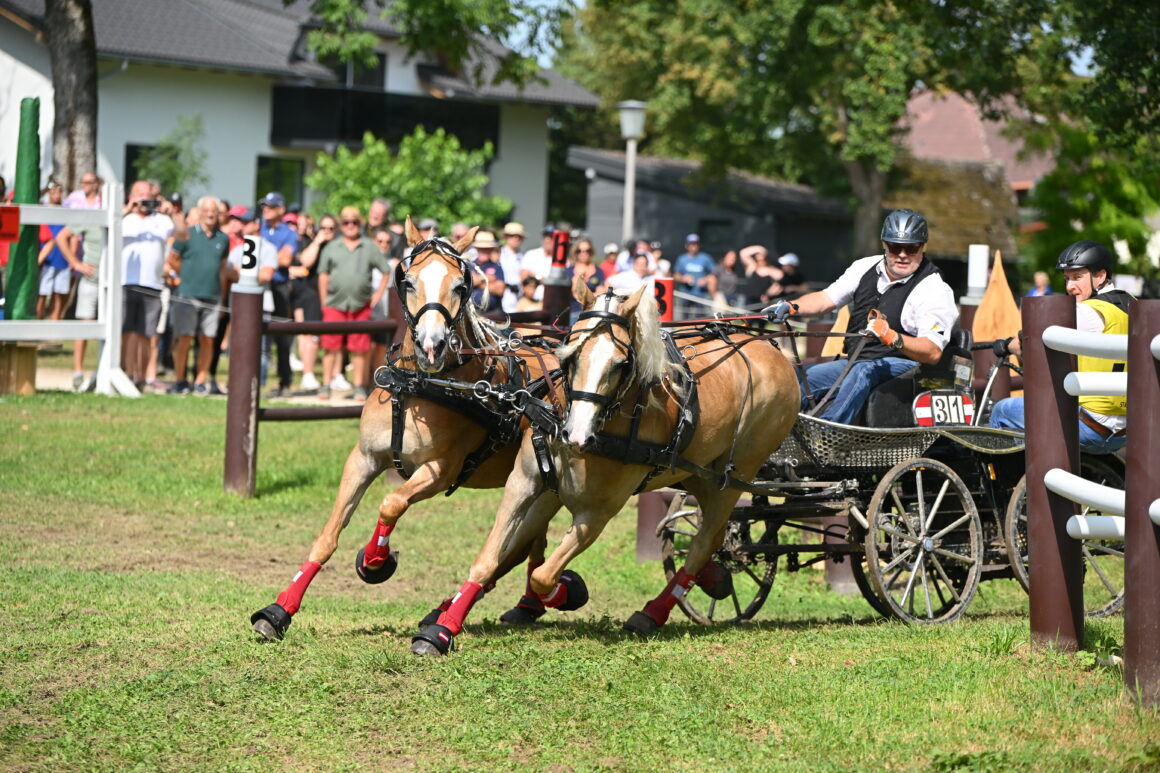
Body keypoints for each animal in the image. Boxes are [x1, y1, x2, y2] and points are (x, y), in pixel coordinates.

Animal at [251, 217, 568, 636]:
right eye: (410, 281)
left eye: (460, 286)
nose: (431, 346)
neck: (418, 387)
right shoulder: (363, 459)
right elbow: (328, 535)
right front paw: (279, 609)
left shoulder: (439, 470)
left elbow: (391, 503)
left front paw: (374, 560)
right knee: (529, 544)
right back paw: (519, 604)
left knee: (521, 546)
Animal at [412, 275, 802, 649]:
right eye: (570, 355)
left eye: (621, 364)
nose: (576, 435)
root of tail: (774, 353)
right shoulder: (526, 483)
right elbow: (492, 557)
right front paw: (442, 628)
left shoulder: (597, 514)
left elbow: (543, 576)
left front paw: (567, 590)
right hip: (697, 473)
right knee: (714, 533)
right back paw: (711, 577)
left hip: (735, 474)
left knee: (706, 539)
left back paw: (653, 612)